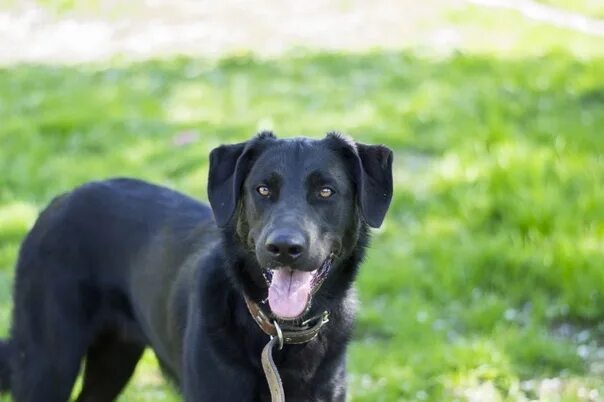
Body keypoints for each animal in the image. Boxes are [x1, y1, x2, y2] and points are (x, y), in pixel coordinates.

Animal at [0, 133, 392, 402]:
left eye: (326, 191)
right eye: (263, 189)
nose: (283, 248)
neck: (279, 334)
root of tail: (58, 200)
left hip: (114, 359)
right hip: (48, 364)